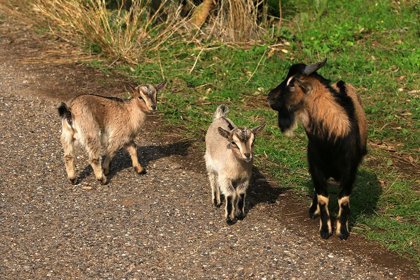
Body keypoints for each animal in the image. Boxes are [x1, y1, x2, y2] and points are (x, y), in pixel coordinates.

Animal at [268, 58, 366, 238]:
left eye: (291, 84)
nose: (270, 96)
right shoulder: (316, 164)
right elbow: (322, 197)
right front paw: (325, 229)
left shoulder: (349, 170)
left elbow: (343, 199)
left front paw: (342, 231)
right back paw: (314, 211)